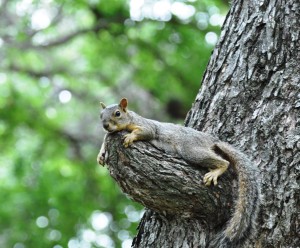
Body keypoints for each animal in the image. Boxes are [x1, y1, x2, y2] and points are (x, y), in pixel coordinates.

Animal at [97, 98, 258, 247]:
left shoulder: (147, 126)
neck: (129, 119)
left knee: (225, 162)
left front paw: (130, 136)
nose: (105, 125)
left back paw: (215, 171)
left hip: (191, 149)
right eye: (100, 115)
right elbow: (105, 138)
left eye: (117, 113)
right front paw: (101, 154)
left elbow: (144, 132)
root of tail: (212, 140)